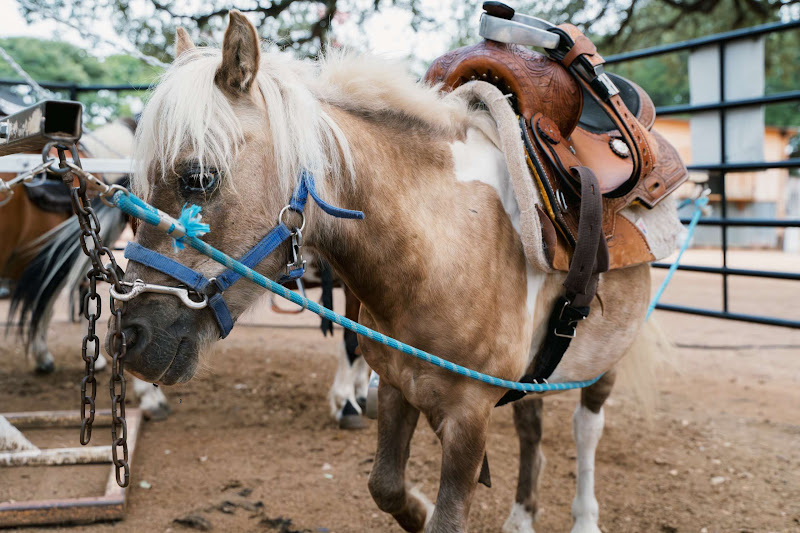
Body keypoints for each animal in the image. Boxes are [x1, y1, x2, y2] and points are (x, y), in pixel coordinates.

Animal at [109, 14, 657, 532]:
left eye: (198, 177)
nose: (129, 338)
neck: (443, 245)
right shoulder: (396, 385)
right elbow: (385, 486)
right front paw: (415, 505)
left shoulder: (469, 419)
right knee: (531, 426)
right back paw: (522, 516)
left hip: (603, 358)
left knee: (587, 429)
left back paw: (584, 517)